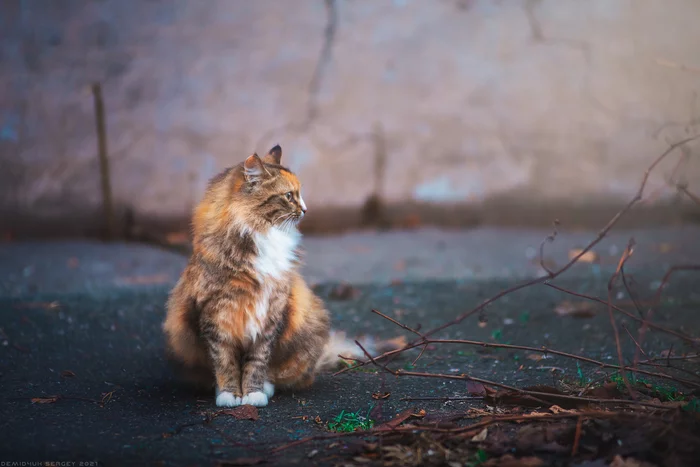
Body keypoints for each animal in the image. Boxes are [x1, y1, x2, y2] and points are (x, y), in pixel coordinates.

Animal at [161, 144, 396, 408]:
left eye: (297, 195)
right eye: (289, 196)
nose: (305, 210)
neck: (258, 234)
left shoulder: (270, 314)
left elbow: (257, 362)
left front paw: (253, 394)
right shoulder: (215, 316)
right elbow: (225, 362)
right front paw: (229, 395)